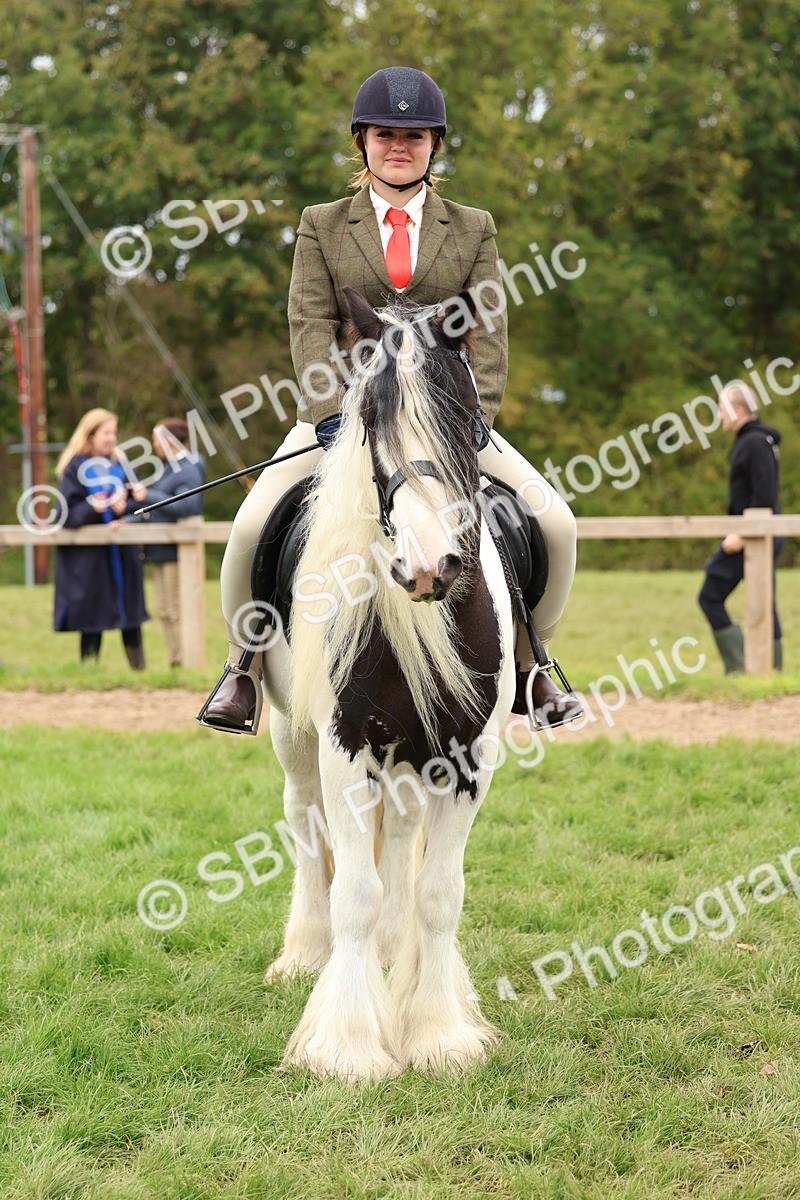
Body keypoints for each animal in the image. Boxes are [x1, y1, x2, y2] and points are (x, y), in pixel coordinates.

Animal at [260, 286, 516, 1080]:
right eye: (369, 420)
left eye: (463, 413)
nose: (429, 565)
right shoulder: (343, 745)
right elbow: (355, 891)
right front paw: (346, 1046)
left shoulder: (468, 756)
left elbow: (437, 892)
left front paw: (437, 1032)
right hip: (292, 733)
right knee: (306, 822)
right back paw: (305, 955)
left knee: (401, 837)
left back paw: (396, 957)